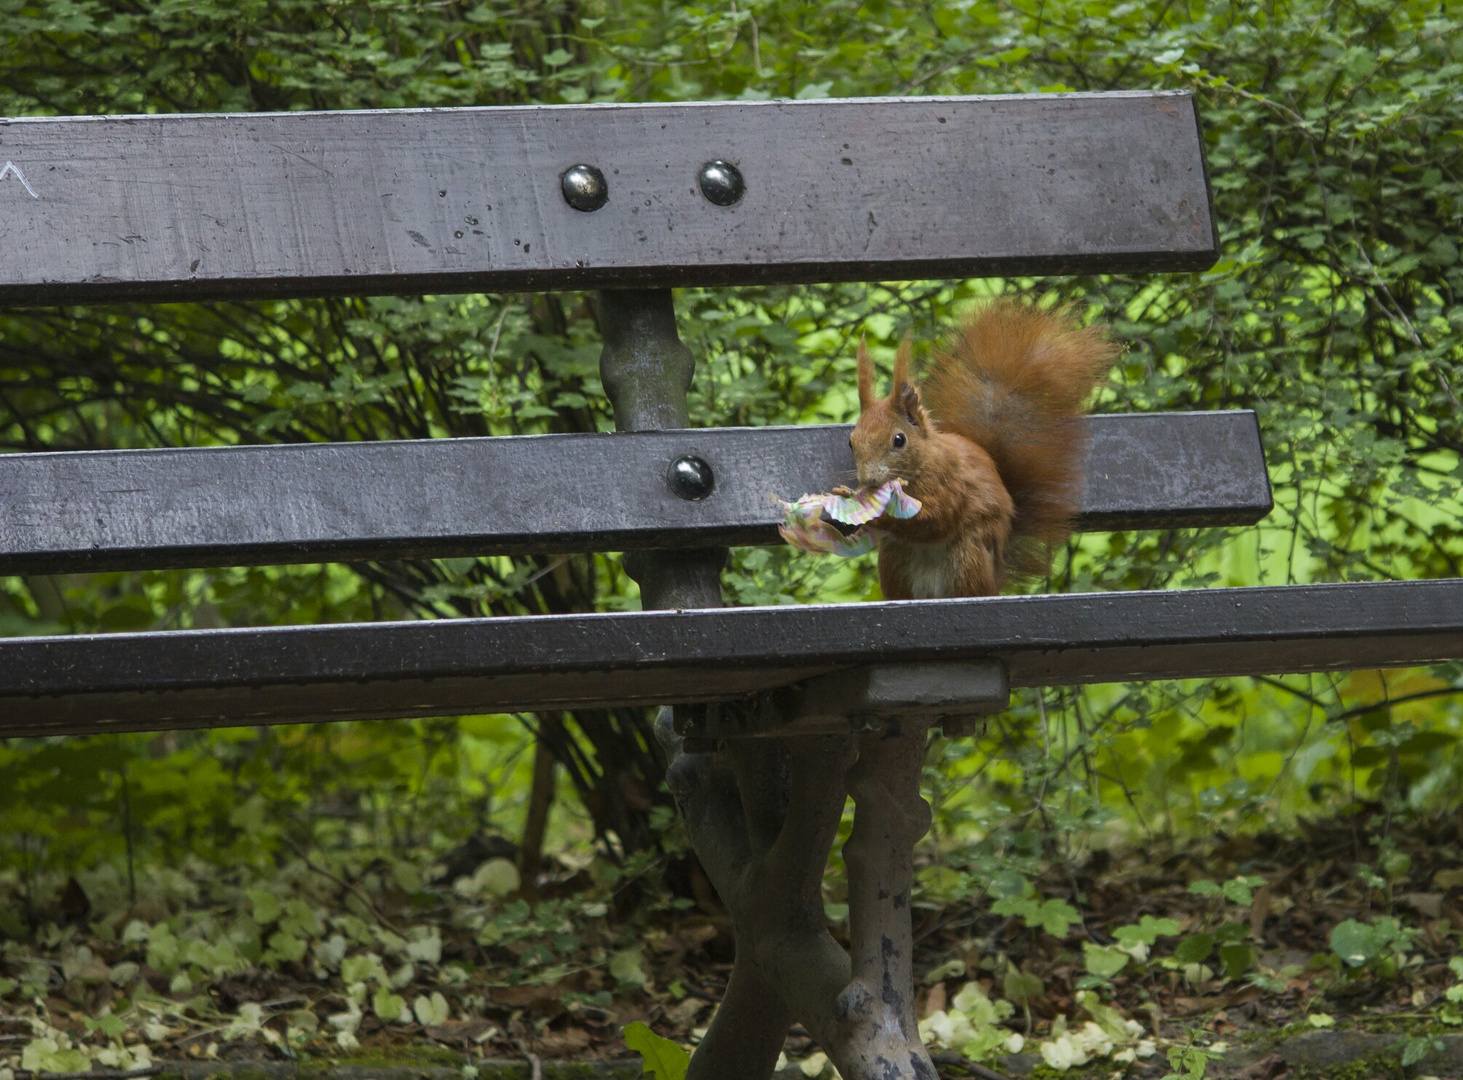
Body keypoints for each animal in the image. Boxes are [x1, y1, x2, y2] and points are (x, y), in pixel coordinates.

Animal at [848, 298, 1117, 597]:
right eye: (851, 441)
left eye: (899, 440)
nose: (868, 479)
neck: (921, 465)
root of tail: (994, 579)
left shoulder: (950, 482)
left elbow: (938, 519)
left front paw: (880, 518)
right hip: (895, 563)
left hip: (969, 558)